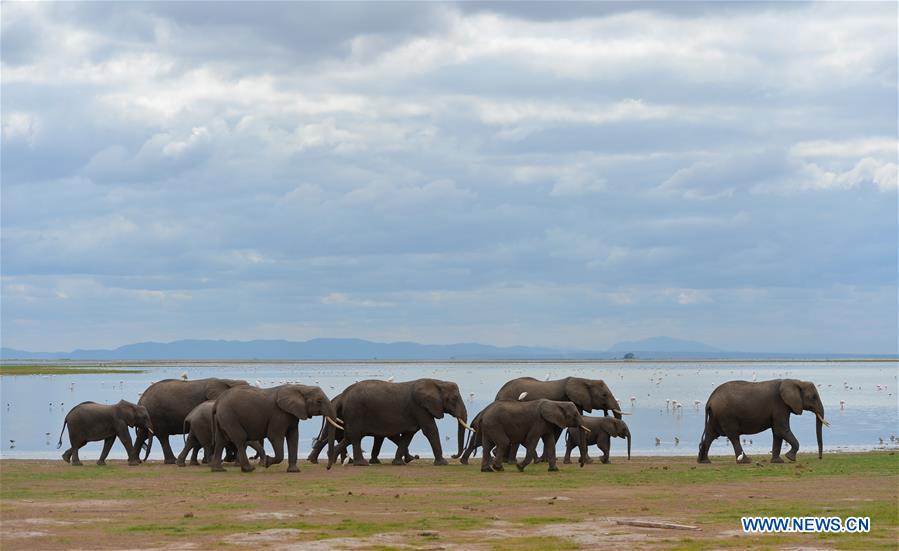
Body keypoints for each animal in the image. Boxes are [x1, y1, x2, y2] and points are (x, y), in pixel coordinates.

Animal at [211, 384, 342, 474]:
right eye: (318, 401)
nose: (327, 468)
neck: (300, 388)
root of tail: (217, 402)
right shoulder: (278, 415)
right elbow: (275, 436)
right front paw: (267, 463)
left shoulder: (292, 414)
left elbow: (293, 437)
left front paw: (294, 471)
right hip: (229, 416)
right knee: (240, 439)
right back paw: (249, 469)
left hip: (222, 418)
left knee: (220, 440)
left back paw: (218, 470)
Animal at [338, 380, 474, 466]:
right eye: (454, 399)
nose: (452, 455)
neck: (437, 382)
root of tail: (344, 396)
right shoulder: (419, 407)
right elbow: (430, 430)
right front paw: (443, 463)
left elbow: (409, 434)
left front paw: (398, 463)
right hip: (355, 412)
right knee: (356, 436)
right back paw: (362, 464)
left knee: (349, 437)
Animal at [492, 378, 624, 464]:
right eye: (604, 395)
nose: (607, 412)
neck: (585, 380)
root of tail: (499, 392)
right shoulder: (572, 402)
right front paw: (588, 461)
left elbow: (557, 430)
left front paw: (546, 460)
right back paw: (506, 460)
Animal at [696, 378, 828, 464]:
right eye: (813, 397)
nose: (820, 458)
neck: (796, 381)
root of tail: (710, 400)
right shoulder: (780, 405)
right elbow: (781, 429)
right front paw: (790, 458)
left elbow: (777, 432)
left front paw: (777, 461)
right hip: (726, 415)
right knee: (733, 436)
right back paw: (745, 461)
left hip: (716, 415)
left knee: (710, 434)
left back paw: (704, 461)